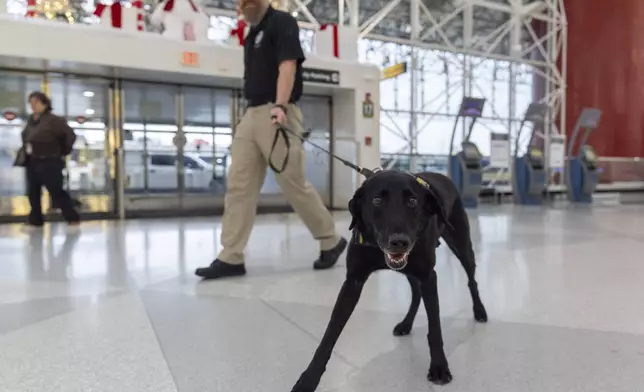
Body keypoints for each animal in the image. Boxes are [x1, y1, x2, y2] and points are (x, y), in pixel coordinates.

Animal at [292, 170, 488, 390]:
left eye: (412, 201)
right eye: (377, 200)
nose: (400, 242)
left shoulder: (429, 277)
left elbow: (435, 328)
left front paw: (439, 367)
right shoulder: (353, 281)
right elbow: (330, 333)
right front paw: (309, 379)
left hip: (461, 245)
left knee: (471, 280)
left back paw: (479, 311)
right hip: (411, 271)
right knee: (416, 293)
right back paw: (406, 324)